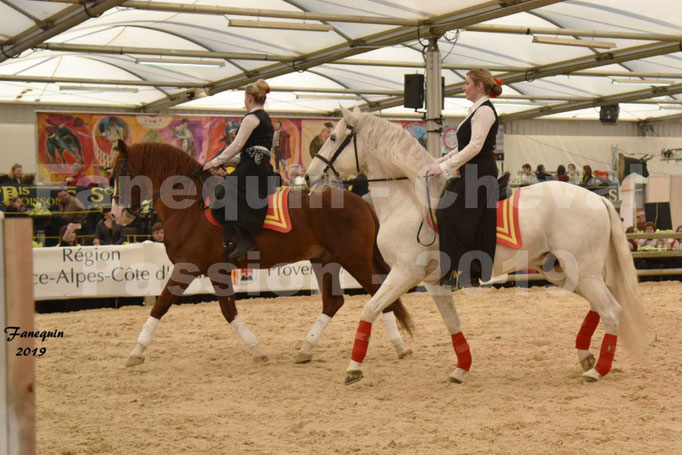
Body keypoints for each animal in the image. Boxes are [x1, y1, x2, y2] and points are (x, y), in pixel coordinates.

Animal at [109, 140, 415, 367]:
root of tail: (362, 202)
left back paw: (399, 346)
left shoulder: (187, 267)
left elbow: (160, 305)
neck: (189, 206)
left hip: (353, 259)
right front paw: (257, 350)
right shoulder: (215, 270)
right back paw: (306, 349)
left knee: (377, 294)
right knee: (334, 302)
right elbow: (228, 311)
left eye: (118, 174)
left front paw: (136, 351)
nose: (116, 215)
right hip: (325, 261)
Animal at [306, 106, 647, 385]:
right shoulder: (433, 282)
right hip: (560, 271)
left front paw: (353, 368)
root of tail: (599, 199)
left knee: (612, 310)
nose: (309, 176)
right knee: (602, 305)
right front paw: (461, 368)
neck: (410, 201)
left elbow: (370, 309)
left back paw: (597, 370)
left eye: (333, 137)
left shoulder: (403, 274)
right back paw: (586, 356)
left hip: (582, 272)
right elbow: (452, 323)